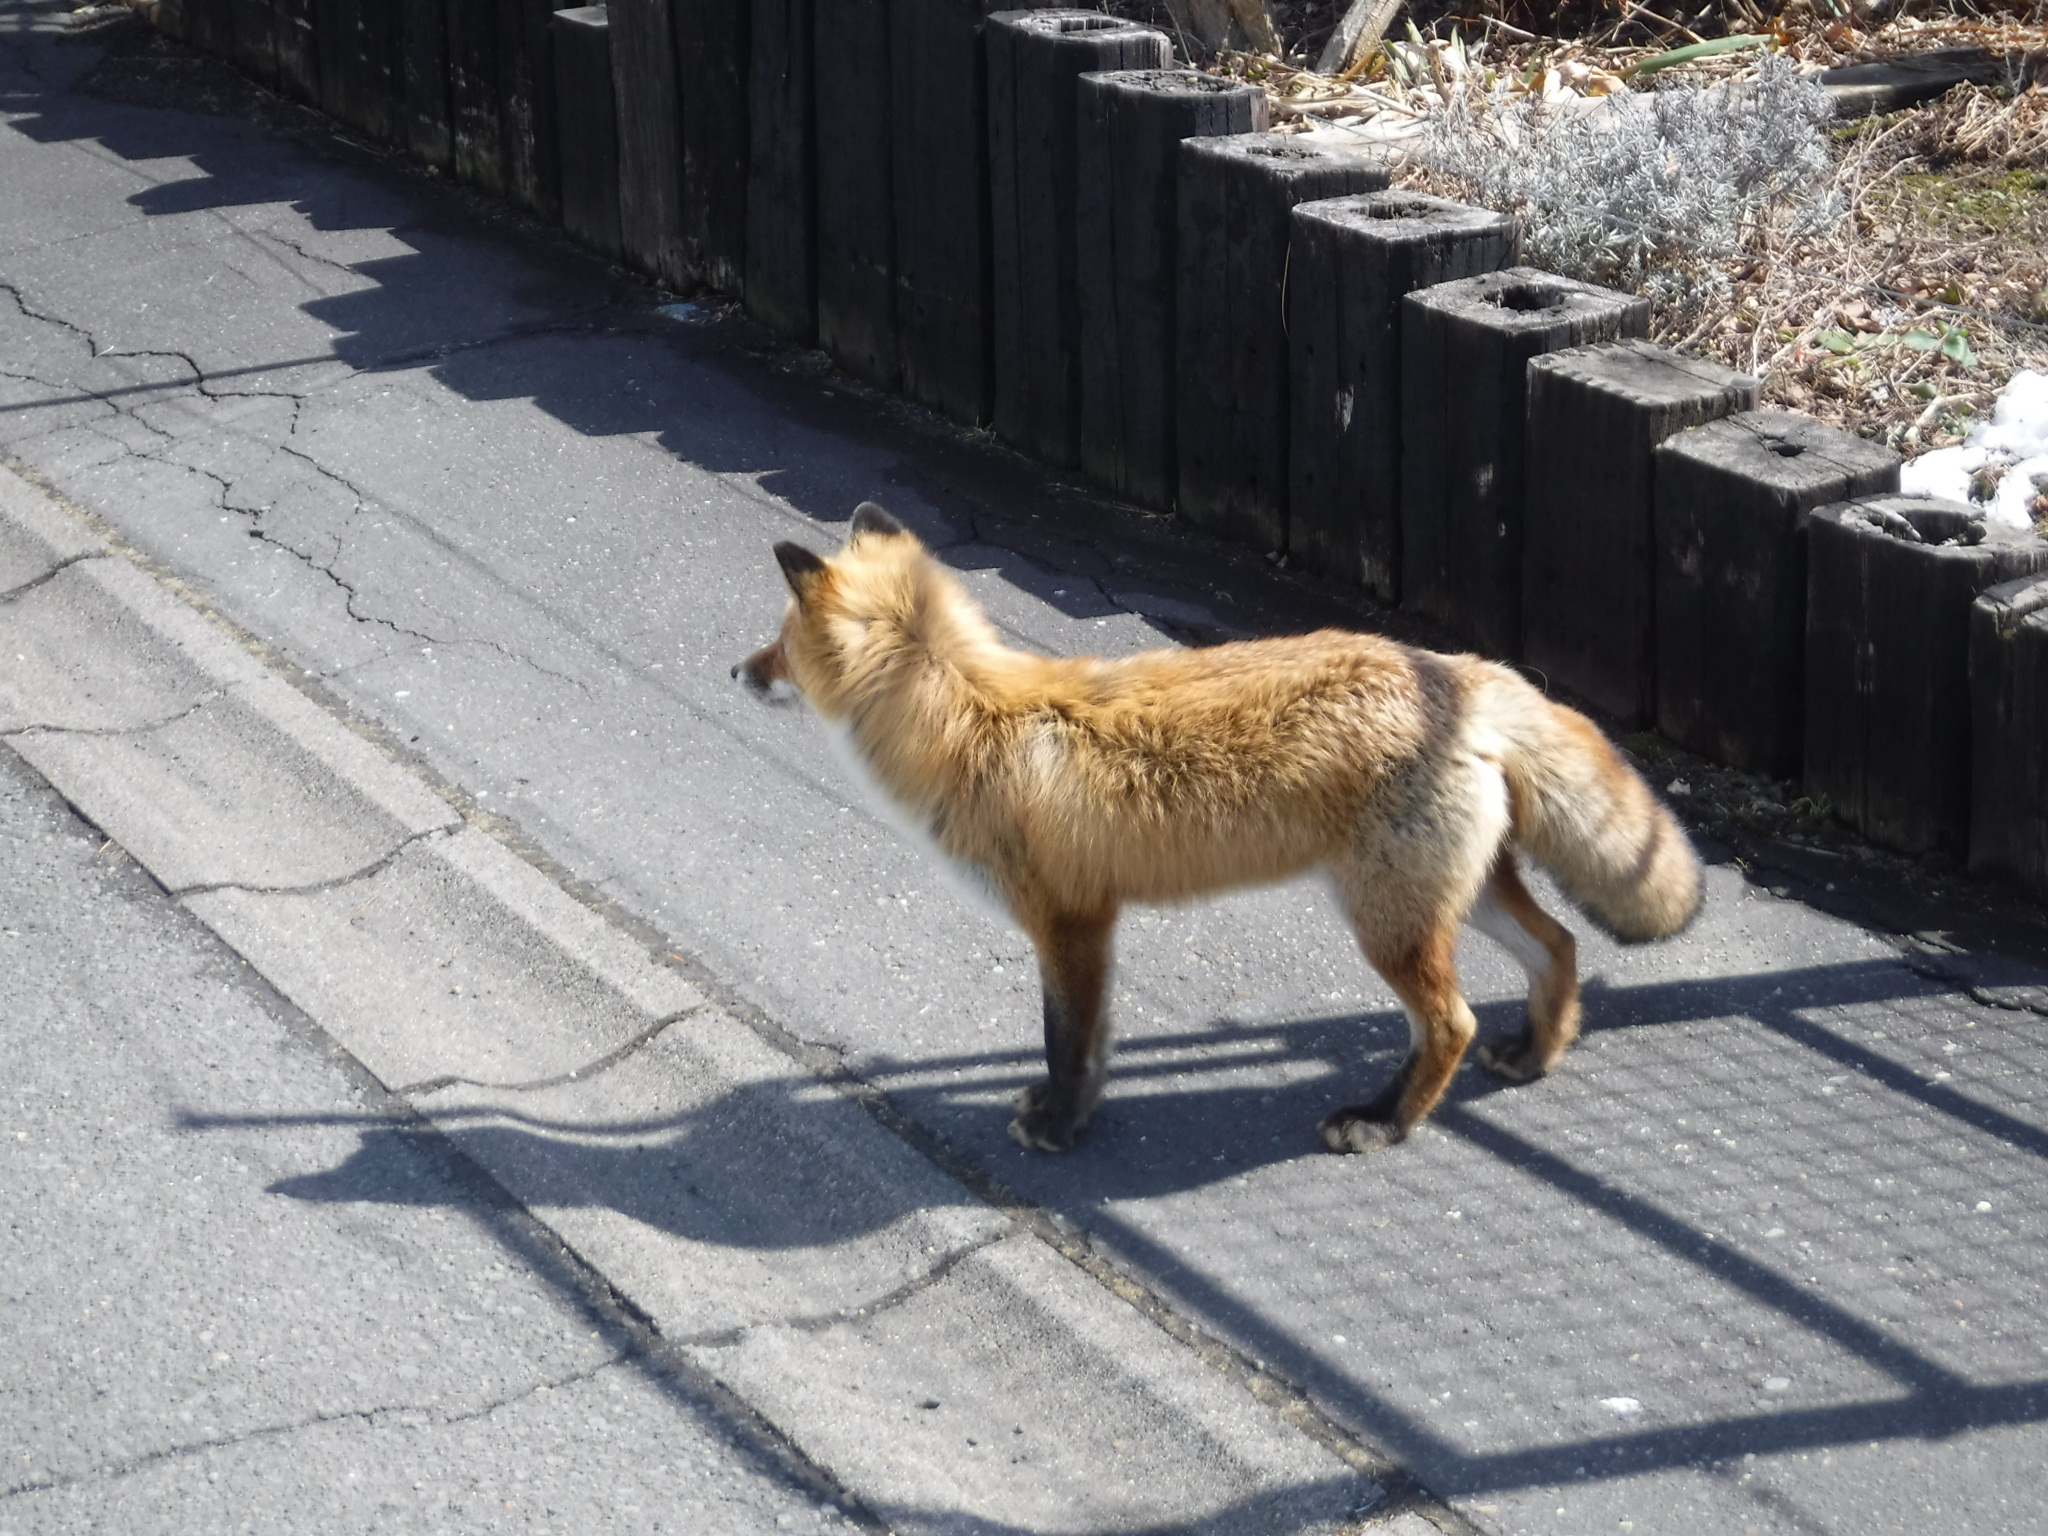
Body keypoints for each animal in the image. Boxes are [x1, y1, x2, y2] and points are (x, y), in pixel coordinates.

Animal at [733, 505, 1695, 1155]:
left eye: (778, 641)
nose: (735, 670)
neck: (971, 718)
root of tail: (1454, 671)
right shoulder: (1085, 923)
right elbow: (1091, 1044)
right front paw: (1074, 1117)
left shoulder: (1069, 922)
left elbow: (1067, 1045)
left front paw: (1060, 1128)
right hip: (1455, 898)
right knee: (1560, 947)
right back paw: (1533, 1056)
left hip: (1388, 925)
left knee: (1450, 1024)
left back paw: (1383, 1123)